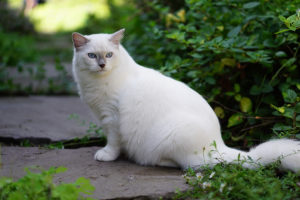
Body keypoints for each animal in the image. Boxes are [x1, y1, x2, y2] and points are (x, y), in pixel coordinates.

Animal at [72, 28, 300, 173]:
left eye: (109, 55)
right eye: (92, 56)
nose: (102, 65)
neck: (99, 82)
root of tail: (220, 145)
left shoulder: (112, 119)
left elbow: (113, 143)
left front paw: (106, 155)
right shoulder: (104, 116)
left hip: (170, 135)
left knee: (190, 165)